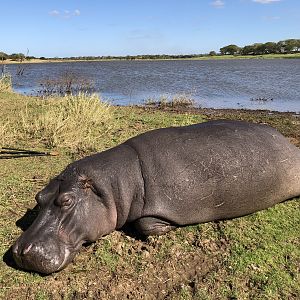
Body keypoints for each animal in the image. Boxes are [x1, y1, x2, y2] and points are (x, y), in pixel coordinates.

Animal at [11, 120, 300, 274]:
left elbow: (145, 224)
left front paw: (167, 228)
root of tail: (288, 143)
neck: (113, 185)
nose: (21, 251)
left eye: (67, 201)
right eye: (39, 196)